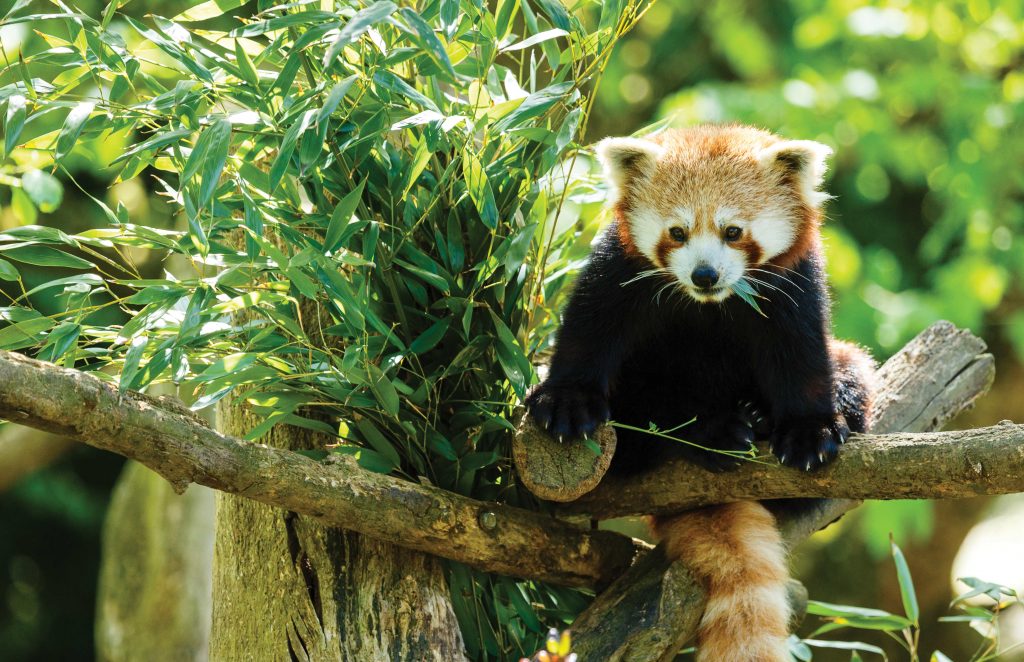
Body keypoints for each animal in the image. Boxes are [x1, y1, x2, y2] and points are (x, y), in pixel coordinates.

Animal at [528, 126, 872, 662]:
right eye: (677, 232)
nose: (704, 274)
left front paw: (807, 431)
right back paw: (711, 433)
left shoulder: (793, 283)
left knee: (852, 375)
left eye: (733, 232)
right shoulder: (618, 269)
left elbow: (801, 355)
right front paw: (567, 400)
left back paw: (758, 418)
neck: (710, 305)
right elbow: (589, 330)